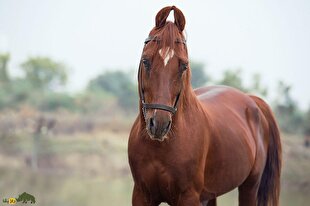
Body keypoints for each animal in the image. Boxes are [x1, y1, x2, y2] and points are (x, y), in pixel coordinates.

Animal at [127, 5, 282, 205]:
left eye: (184, 65)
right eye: (145, 61)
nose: (159, 124)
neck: (161, 147)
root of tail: (251, 100)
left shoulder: (189, 197)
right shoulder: (141, 195)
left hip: (249, 187)